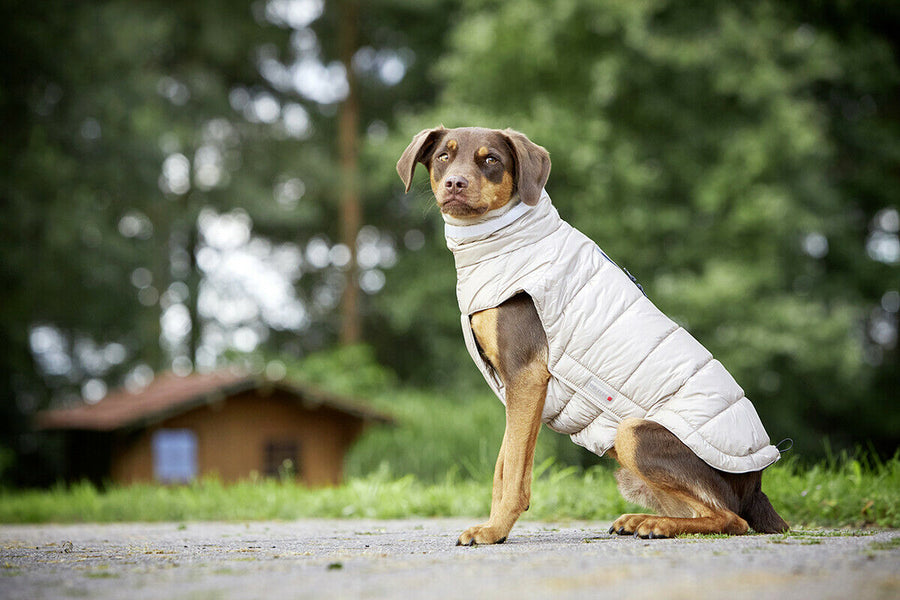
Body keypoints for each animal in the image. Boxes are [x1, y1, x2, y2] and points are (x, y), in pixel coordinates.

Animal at [396, 125, 788, 544]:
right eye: (443, 156)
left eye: (491, 160)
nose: (455, 182)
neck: (503, 242)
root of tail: (756, 485)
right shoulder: (514, 388)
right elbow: (503, 466)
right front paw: (493, 525)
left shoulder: (526, 376)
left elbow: (514, 470)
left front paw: (493, 530)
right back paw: (640, 520)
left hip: (634, 433)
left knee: (730, 519)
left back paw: (658, 525)